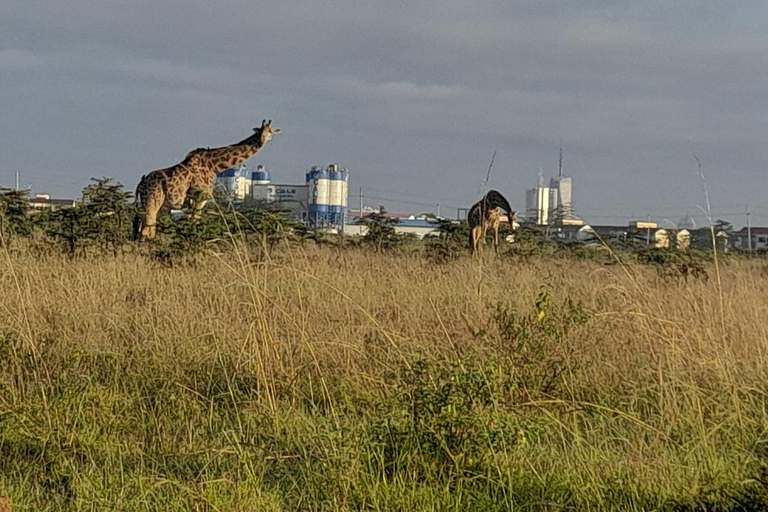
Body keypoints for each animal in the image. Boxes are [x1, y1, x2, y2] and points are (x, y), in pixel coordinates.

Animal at [134, 120, 280, 240]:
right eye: (261, 131)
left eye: (271, 131)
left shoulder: (199, 201)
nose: (262, 140)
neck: (214, 166)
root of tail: (140, 184)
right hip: (153, 201)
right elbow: (193, 225)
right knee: (146, 231)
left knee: (142, 230)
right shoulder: (198, 198)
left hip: (153, 204)